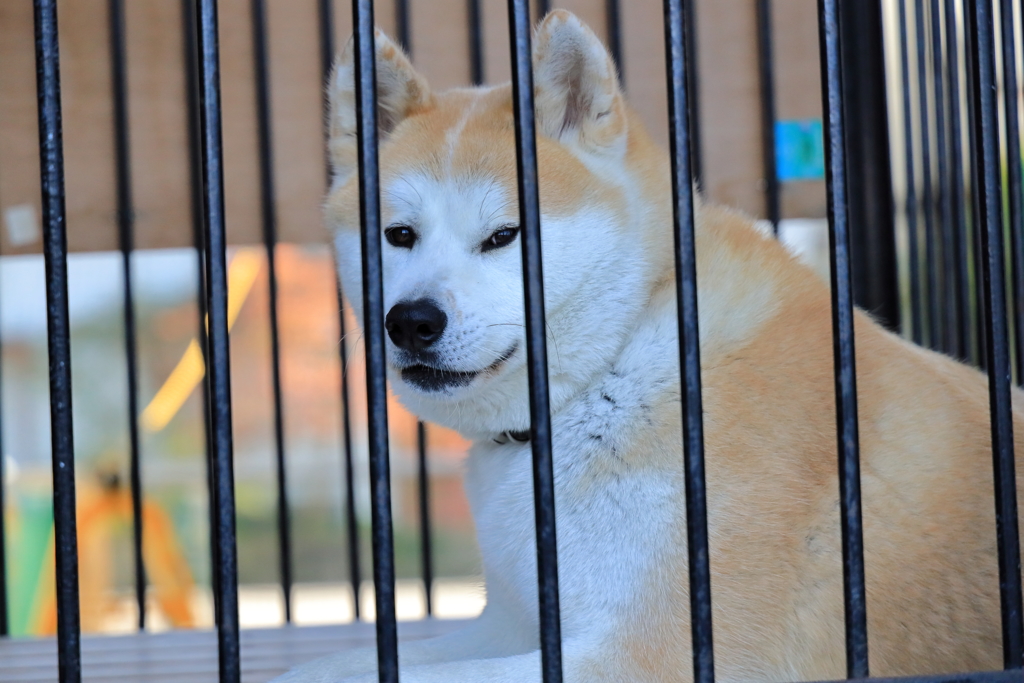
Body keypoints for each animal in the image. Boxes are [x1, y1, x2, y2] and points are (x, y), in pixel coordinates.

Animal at [274, 10, 1024, 683]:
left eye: (502, 235)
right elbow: (335, 666)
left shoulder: (655, 650)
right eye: (399, 235)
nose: (411, 321)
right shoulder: (514, 626)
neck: (617, 362)